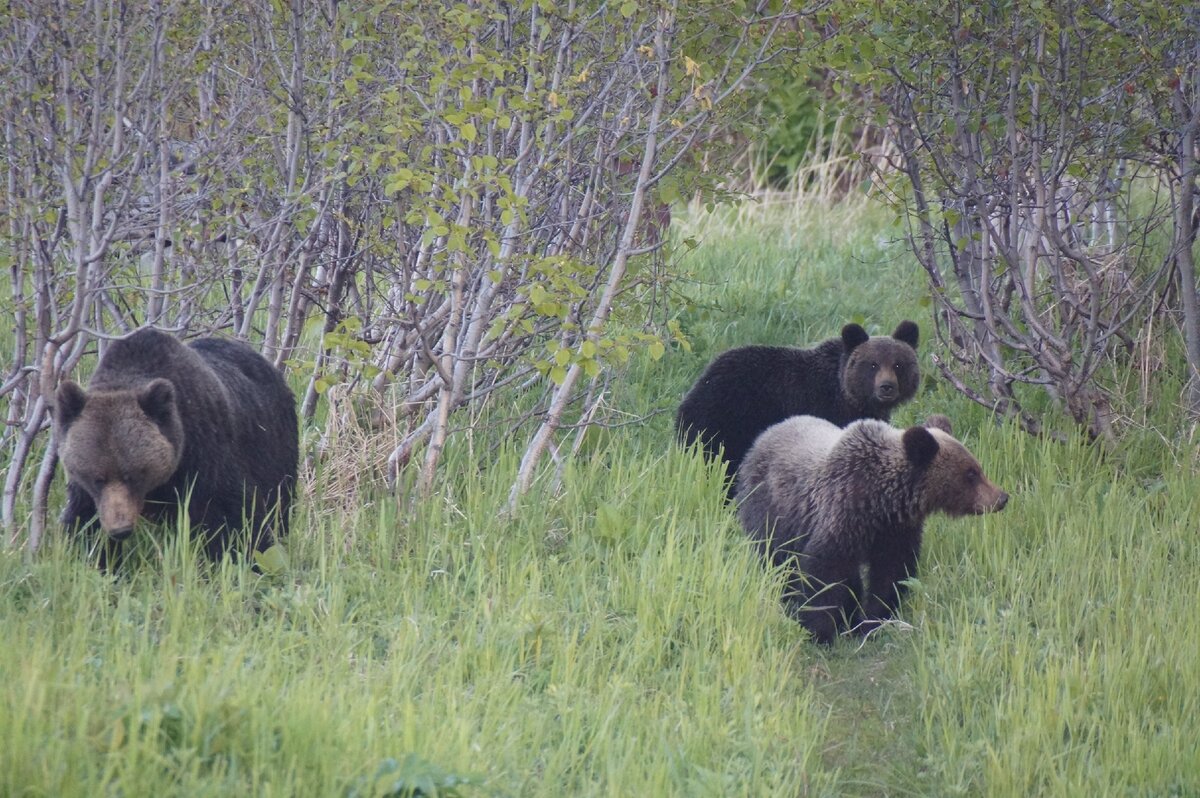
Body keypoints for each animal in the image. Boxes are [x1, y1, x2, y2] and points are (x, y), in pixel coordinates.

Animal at [54, 326, 300, 564]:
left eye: (133, 475)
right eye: (98, 478)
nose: (120, 529)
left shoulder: (206, 455)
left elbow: (233, 517)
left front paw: (245, 557)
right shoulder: (87, 491)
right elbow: (84, 523)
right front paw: (98, 558)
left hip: (274, 445)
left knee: (279, 500)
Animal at [734, 412, 1008, 643]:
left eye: (977, 467)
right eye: (971, 473)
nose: (1002, 497)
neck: (881, 501)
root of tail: (762, 436)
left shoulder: (895, 531)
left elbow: (890, 574)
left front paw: (872, 622)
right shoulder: (840, 516)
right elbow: (822, 575)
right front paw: (819, 631)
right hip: (772, 514)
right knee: (778, 562)